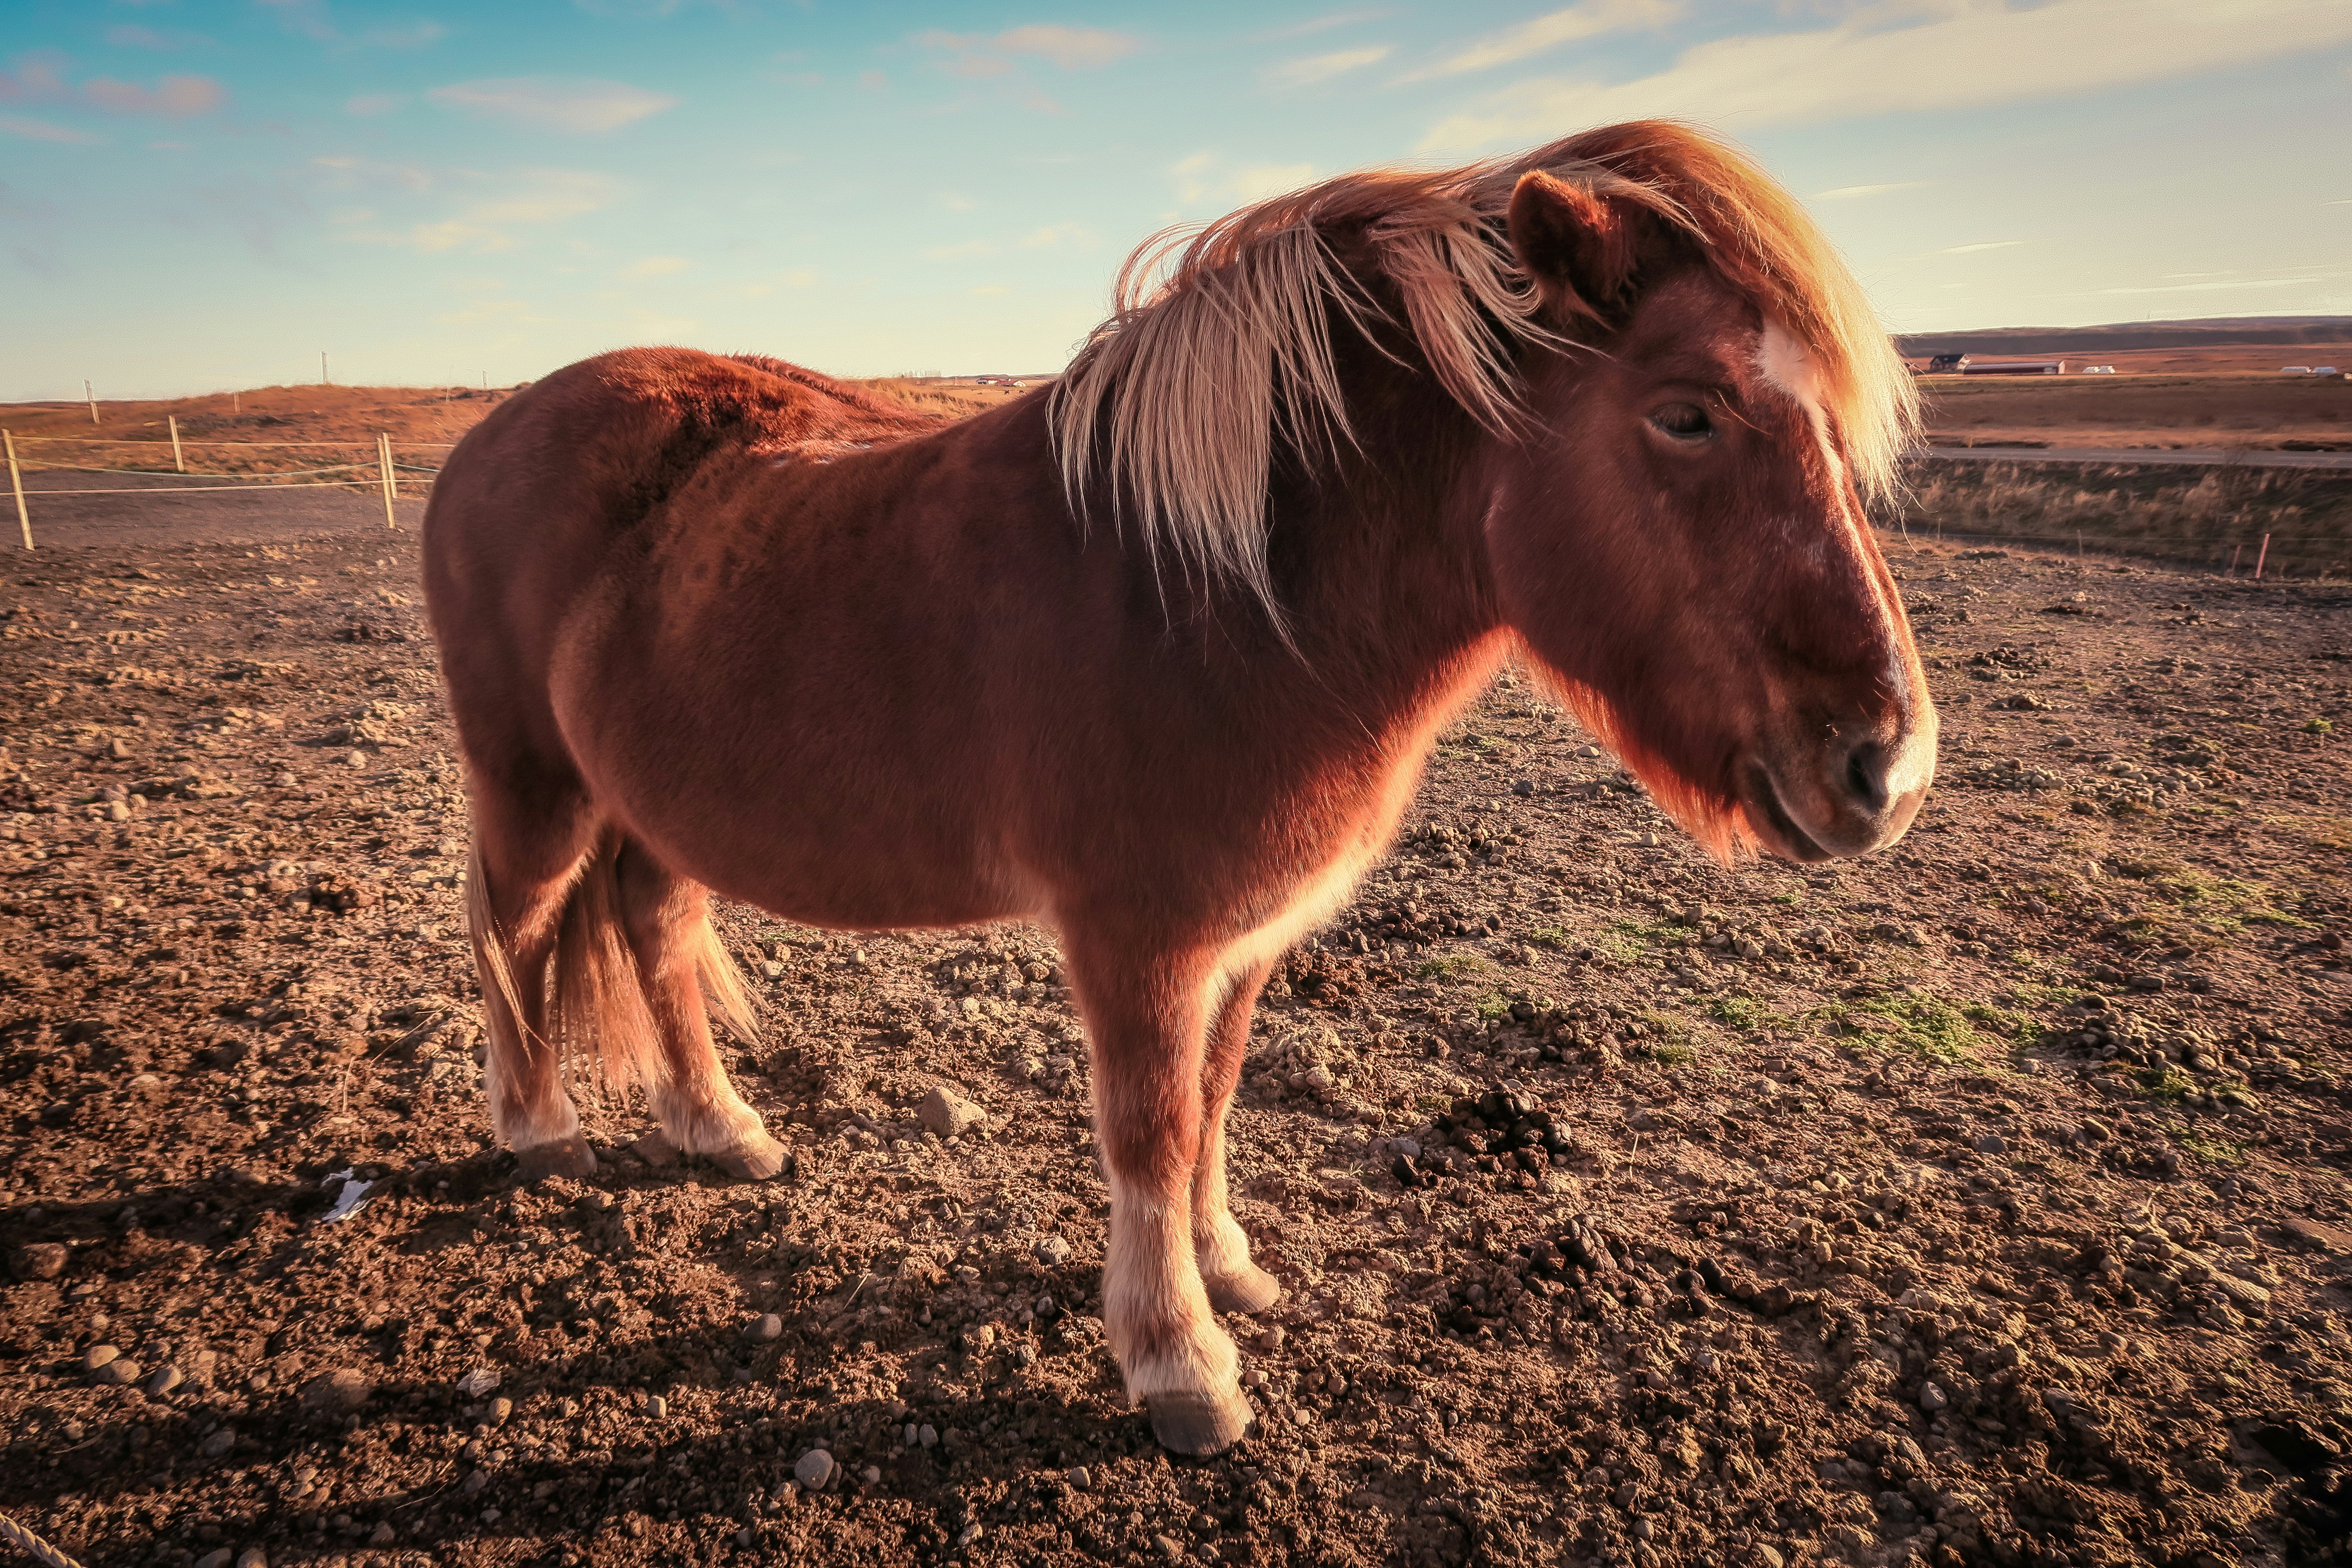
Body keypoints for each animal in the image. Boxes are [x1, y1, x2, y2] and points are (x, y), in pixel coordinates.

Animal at [421, 119, 1935, 1457]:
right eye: (1687, 414)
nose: (1891, 769)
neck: (1221, 594)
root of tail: (487, 441)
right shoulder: (1137, 939)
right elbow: (1149, 1132)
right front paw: (1178, 1365)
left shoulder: (1241, 941)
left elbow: (1211, 1105)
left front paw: (1229, 1268)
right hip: (535, 784)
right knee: (517, 925)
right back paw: (543, 1133)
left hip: (655, 804)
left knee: (653, 927)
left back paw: (722, 1129)